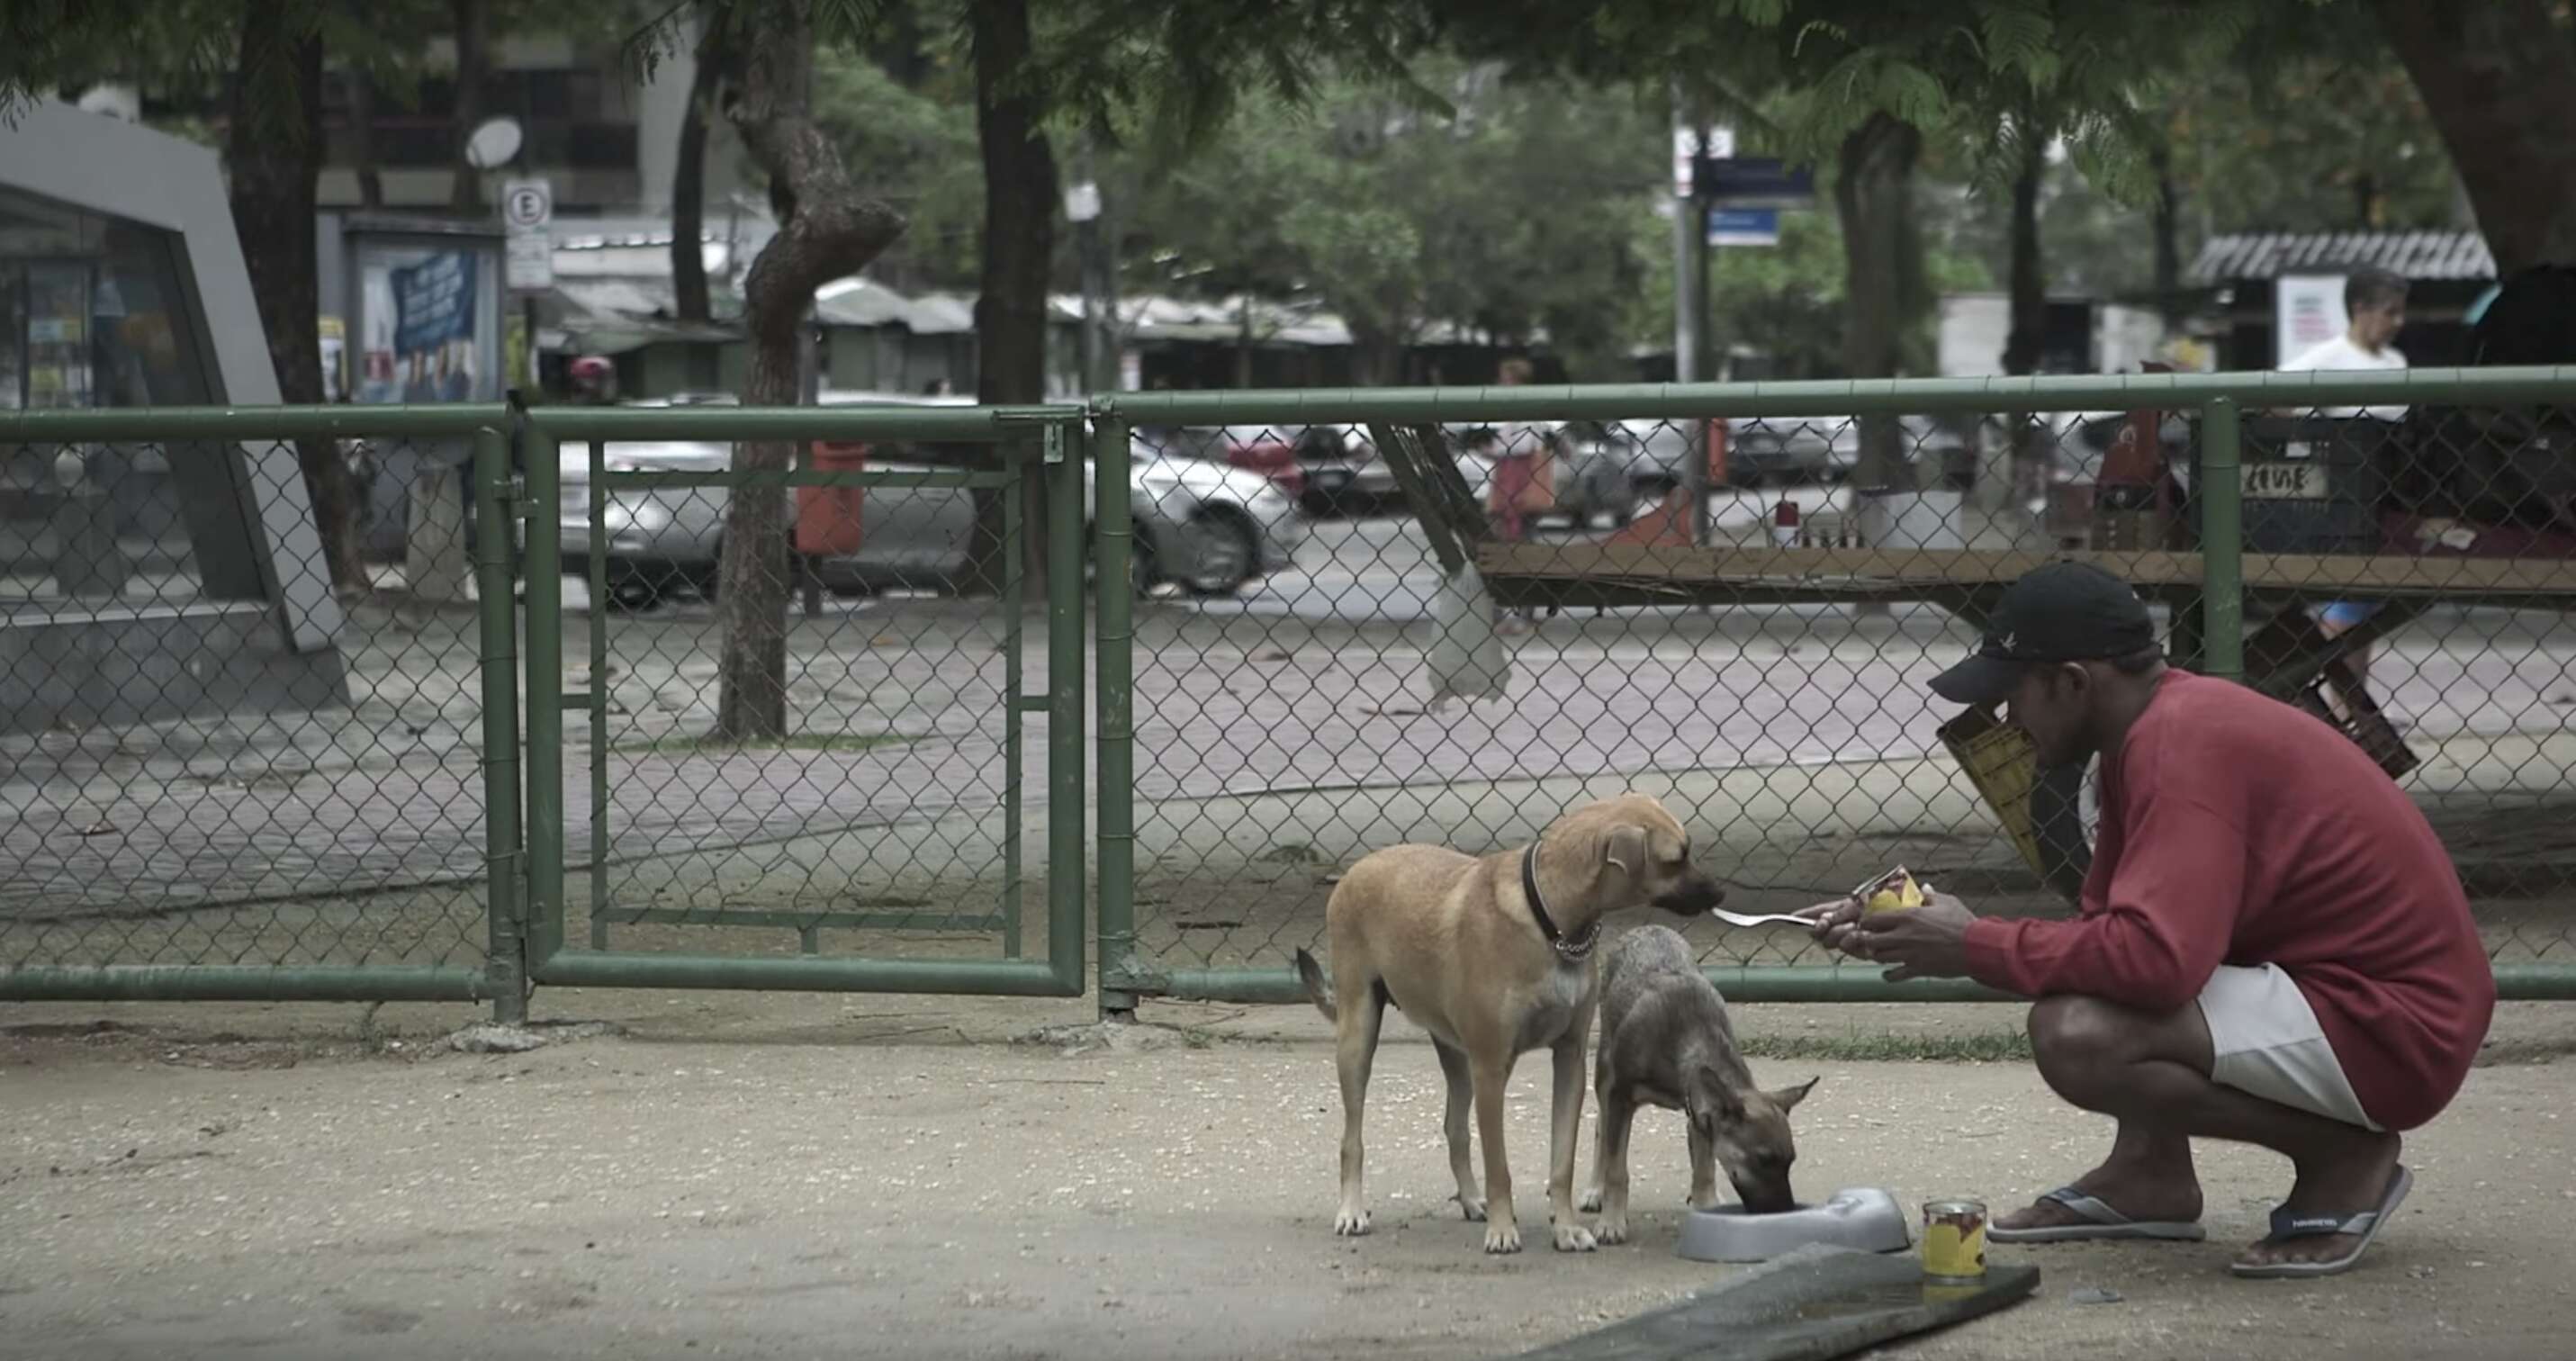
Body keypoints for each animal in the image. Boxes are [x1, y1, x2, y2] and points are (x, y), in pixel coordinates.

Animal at [1288, 798, 1731, 1252]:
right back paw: (1352, 1210)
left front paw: (1566, 1227)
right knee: (1352, 1140)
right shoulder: (1491, 1068)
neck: (1550, 918)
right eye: (1676, 858)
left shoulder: (1569, 1060)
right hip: (1359, 1037)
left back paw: (1469, 1200)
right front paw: (1503, 1231)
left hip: (1455, 1056)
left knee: (1455, 1129)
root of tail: (1354, 871)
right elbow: (1498, 1166)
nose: (1720, 893)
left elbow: (1562, 1164)